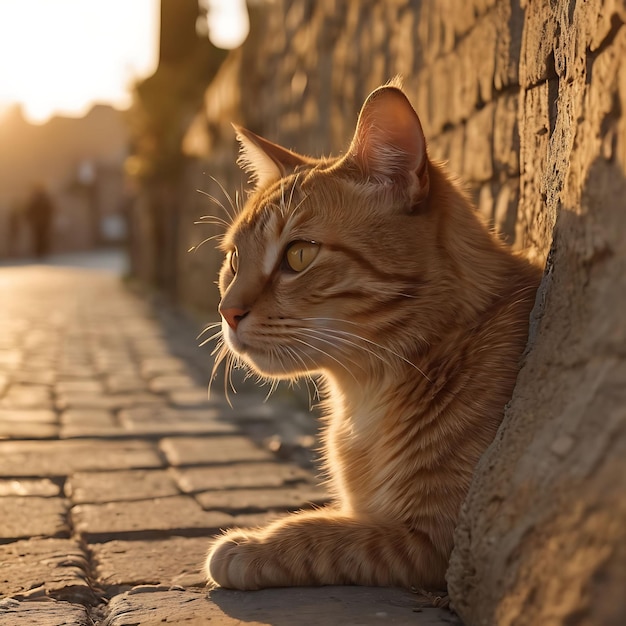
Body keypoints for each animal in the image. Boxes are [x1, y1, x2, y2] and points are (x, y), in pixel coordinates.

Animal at [205, 80, 540, 588]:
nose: (227, 311)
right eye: (234, 260)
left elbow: (322, 533)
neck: (362, 402)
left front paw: (251, 544)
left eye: (299, 255)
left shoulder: (432, 543)